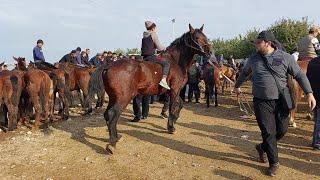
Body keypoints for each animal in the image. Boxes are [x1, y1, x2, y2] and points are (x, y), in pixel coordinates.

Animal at [89, 23, 211, 153]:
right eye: (197, 38)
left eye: (205, 36)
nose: (209, 51)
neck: (175, 61)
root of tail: (109, 65)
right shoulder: (175, 90)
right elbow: (173, 107)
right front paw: (171, 127)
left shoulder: (172, 92)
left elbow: (180, 104)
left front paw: (174, 120)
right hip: (123, 97)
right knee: (113, 114)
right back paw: (112, 143)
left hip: (113, 97)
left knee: (107, 114)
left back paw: (116, 137)